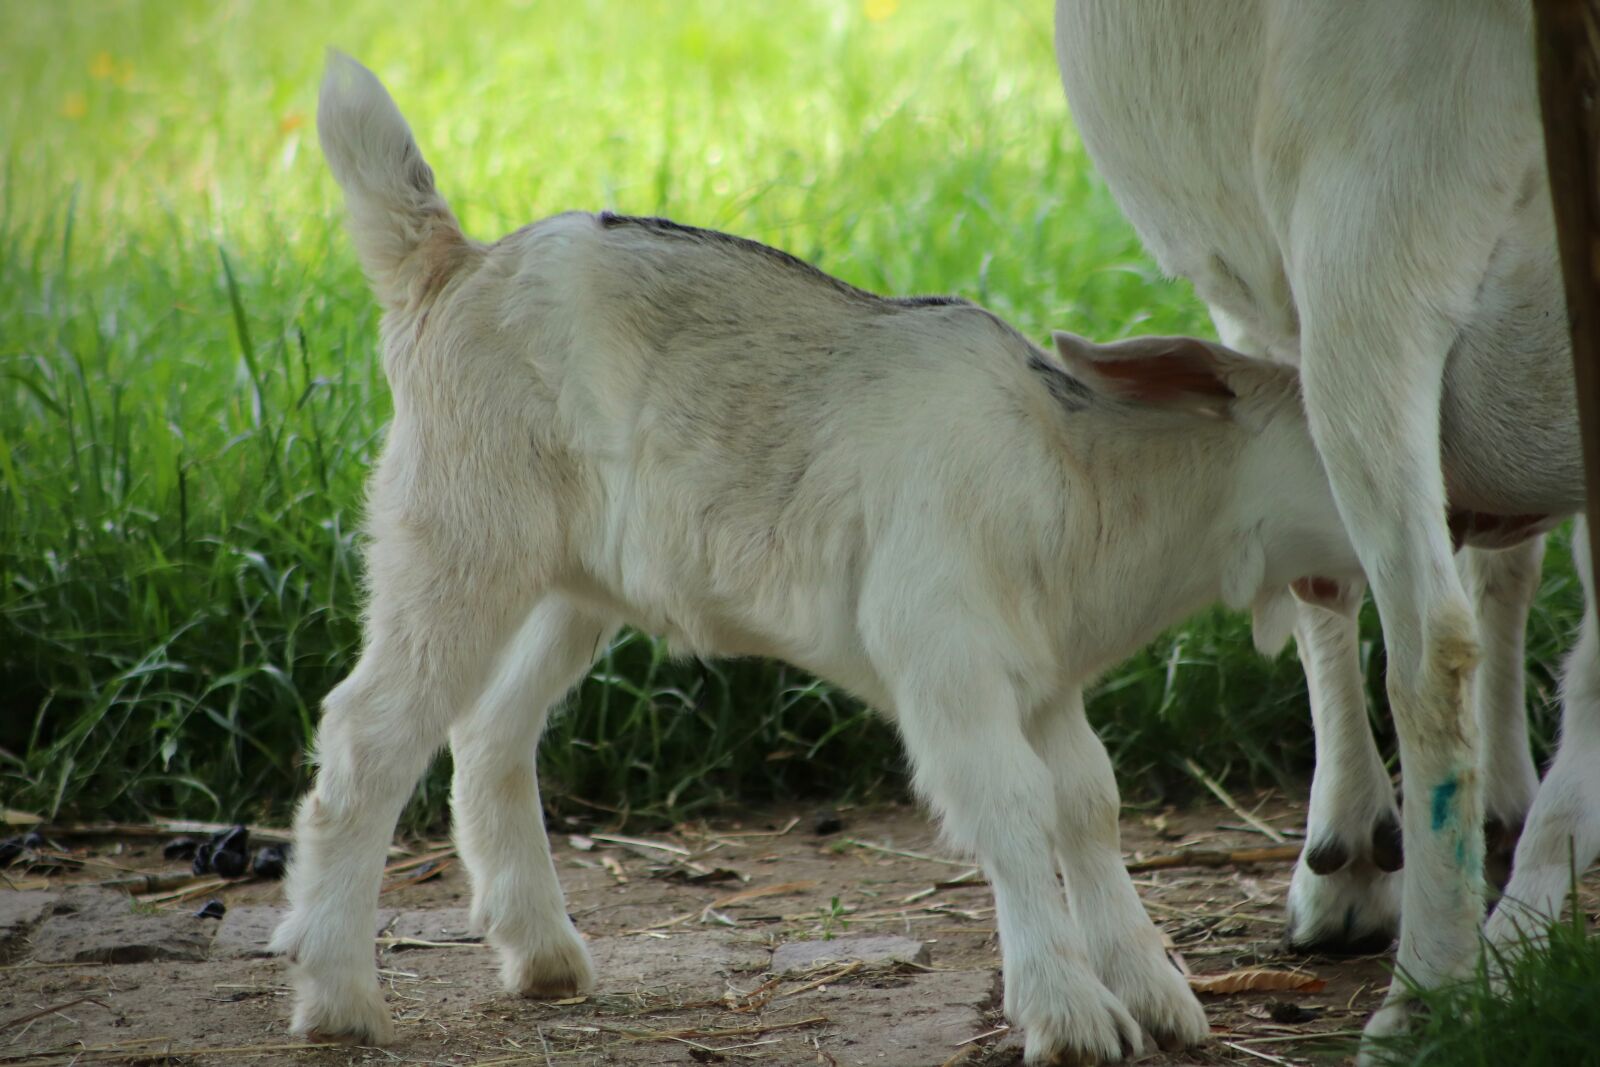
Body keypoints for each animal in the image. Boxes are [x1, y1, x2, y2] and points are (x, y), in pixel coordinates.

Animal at [273, 52, 1364, 1063]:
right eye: (1327, 434)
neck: (1078, 473)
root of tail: (455, 264)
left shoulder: (1045, 677)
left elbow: (1087, 806)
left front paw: (1156, 998)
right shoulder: (945, 657)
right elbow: (1012, 809)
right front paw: (1069, 1015)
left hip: (566, 585)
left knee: (489, 730)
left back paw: (542, 954)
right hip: (457, 535)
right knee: (369, 734)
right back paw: (338, 997)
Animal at [1055, 0, 1594, 1045]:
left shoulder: (1262, 298)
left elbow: (1313, 574)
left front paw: (1346, 859)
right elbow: (1507, 570)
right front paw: (1505, 801)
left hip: (1372, 230)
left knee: (1431, 650)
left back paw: (1430, 994)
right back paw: (1519, 941)